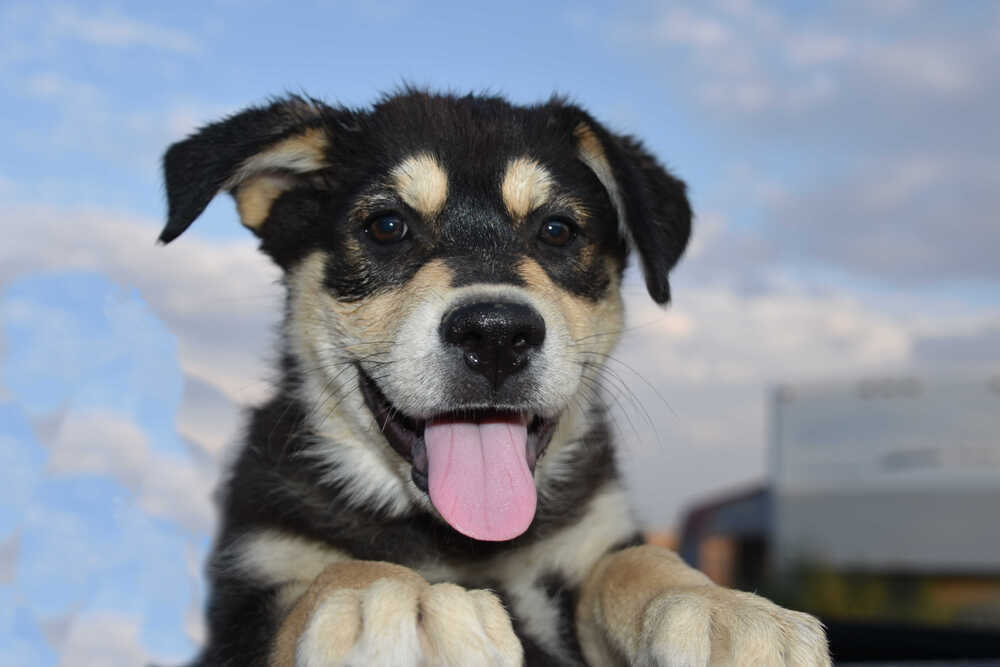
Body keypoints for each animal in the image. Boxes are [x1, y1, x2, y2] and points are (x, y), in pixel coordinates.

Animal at [158, 90, 828, 667]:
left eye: (557, 229)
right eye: (386, 226)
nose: (496, 336)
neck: (466, 545)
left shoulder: (588, 545)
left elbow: (633, 561)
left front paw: (720, 609)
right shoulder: (247, 598)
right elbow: (330, 577)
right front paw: (398, 604)